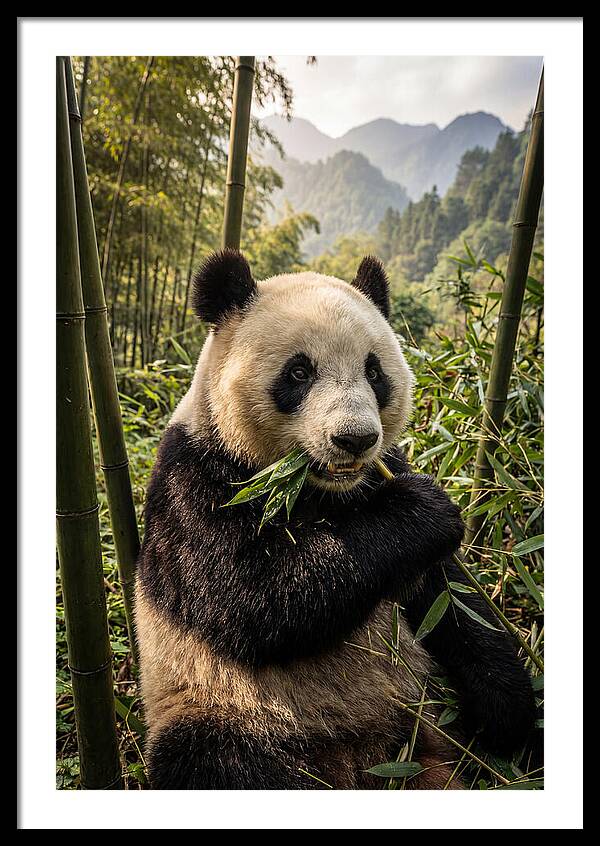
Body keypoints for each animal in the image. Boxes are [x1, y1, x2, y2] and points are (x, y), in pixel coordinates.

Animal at [134, 249, 536, 790]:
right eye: (299, 372)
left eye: (374, 371)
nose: (355, 438)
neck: (318, 489)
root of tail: (364, 759)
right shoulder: (196, 477)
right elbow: (252, 597)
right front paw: (423, 510)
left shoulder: (384, 476)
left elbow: (453, 603)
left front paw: (507, 711)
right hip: (223, 706)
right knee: (215, 760)